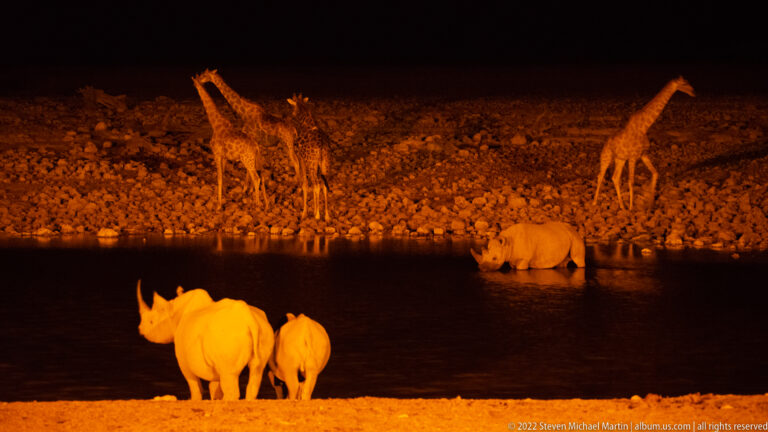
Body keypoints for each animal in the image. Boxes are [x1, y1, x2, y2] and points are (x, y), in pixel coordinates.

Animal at [191, 73, 269, 210]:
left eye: (201, 78)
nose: (198, 83)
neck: (215, 124)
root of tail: (256, 147)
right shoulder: (224, 156)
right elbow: (223, 175)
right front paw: (224, 197)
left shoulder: (216, 154)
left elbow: (219, 178)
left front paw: (218, 205)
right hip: (254, 160)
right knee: (261, 177)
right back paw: (265, 204)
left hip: (247, 160)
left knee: (256, 178)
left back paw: (257, 203)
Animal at [593, 76, 695, 210]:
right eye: (684, 83)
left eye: (688, 81)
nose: (693, 91)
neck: (644, 127)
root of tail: (604, 145)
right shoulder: (633, 157)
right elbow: (631, 181)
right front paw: (632, 208)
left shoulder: (643, 155)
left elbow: (655, 173)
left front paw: (650, 204)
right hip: (606, 157)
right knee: (600, 176)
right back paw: (595, 202)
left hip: (620, 159)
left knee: (615, 178)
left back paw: (622, 206)